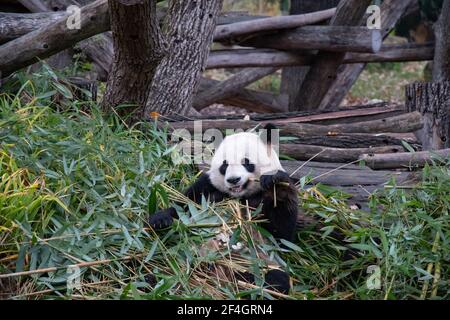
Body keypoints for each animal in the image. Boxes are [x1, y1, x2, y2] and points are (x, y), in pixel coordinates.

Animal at [149, 125, 300, 296]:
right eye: (224, 165)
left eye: (246, 162)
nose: (233, 180)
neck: (238, 196)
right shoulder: (206, 189)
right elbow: (183, 205)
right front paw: (160, 220)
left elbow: (282, 237)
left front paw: (274, 180)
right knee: (162, 265)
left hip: (255, 264)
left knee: (274, 279)